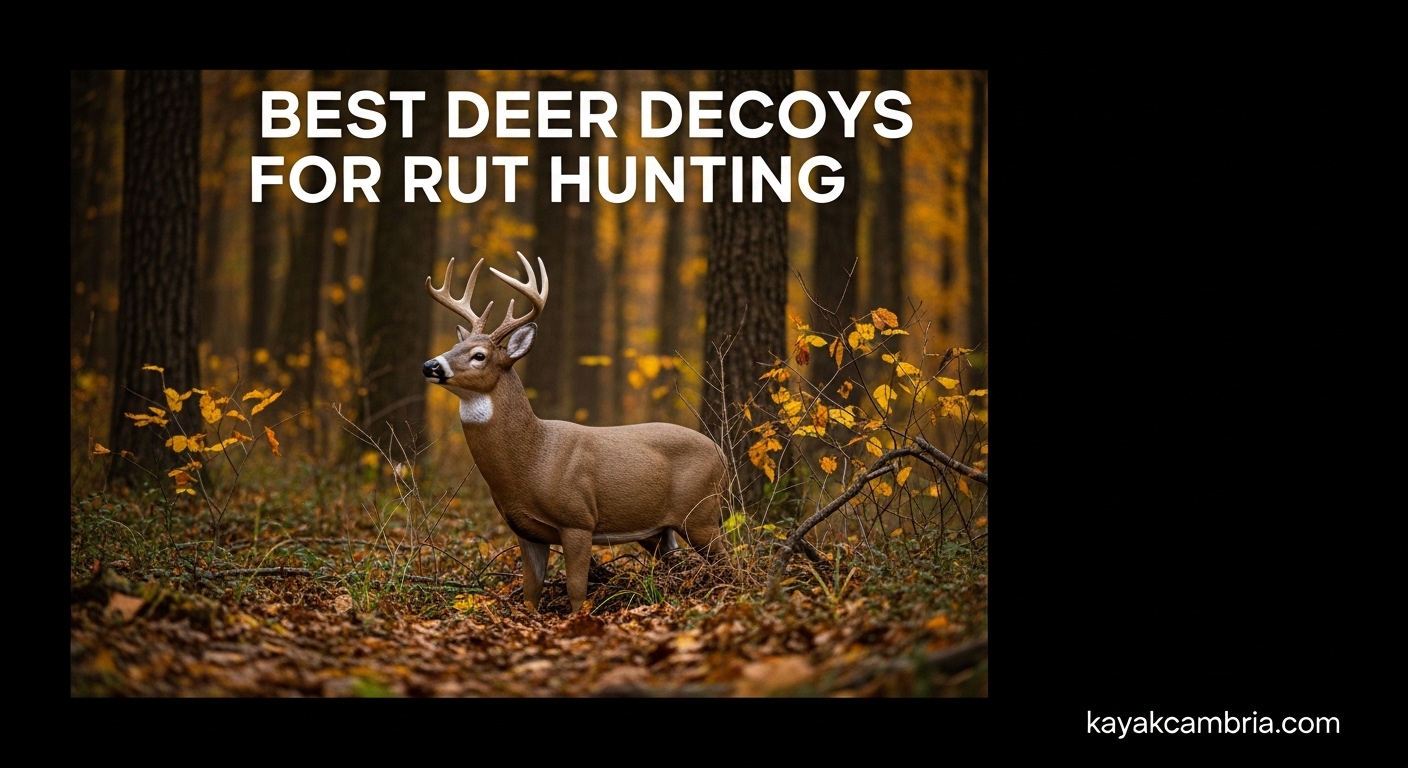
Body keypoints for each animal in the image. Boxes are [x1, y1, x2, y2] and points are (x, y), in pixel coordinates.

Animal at [424, 252, 730, 614]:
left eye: (479, 356)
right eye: (456, 347)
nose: (430, 365)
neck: (531, 457)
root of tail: (722, 455)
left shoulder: (578, 520)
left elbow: (576, 589)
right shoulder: (525, 530)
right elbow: (531, 592)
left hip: (701, 512)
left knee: (727, 560)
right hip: (658, 531)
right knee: (678, 561)